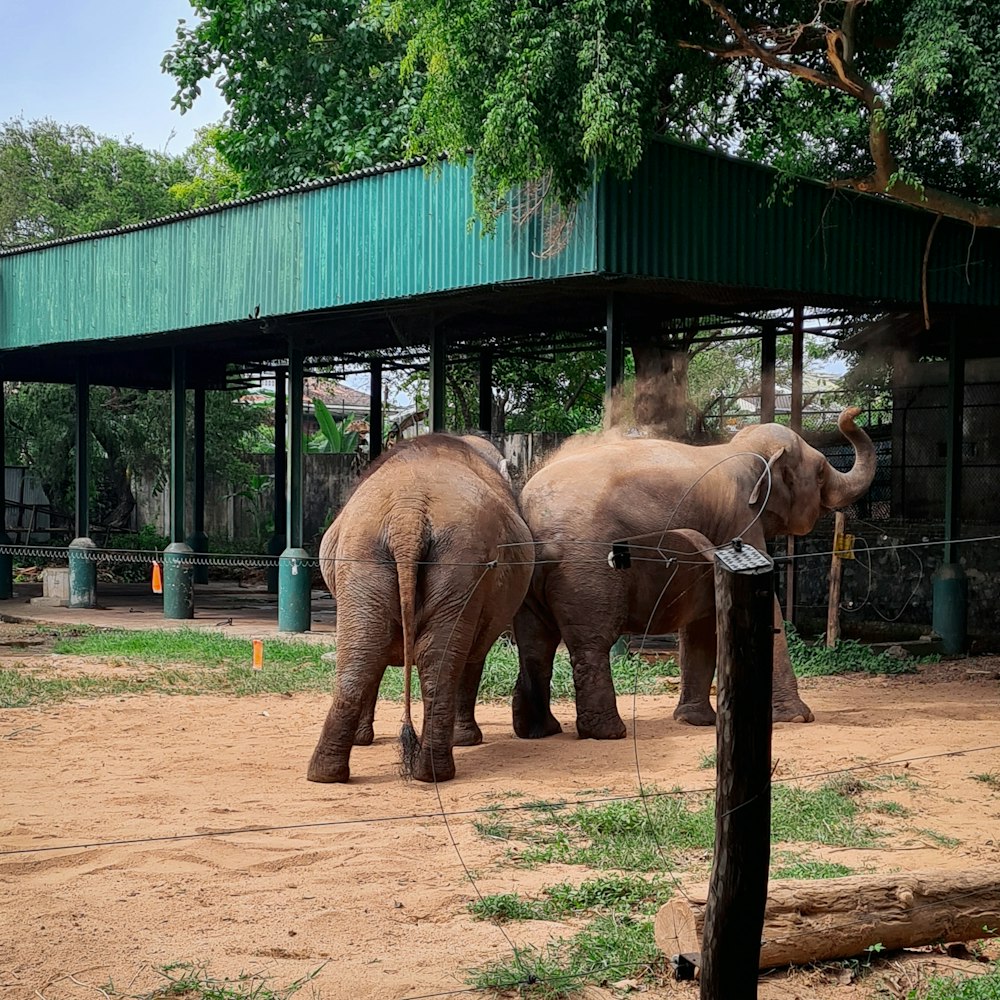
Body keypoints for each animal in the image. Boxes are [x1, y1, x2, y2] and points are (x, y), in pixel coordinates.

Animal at [308, 434, 536, 784]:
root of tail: (408, 512)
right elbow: (475, 653)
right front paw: (468, 741)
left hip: (376, 556)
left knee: (367, 651)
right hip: (448, 557)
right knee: (429, 655)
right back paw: (433, 769)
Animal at [512, 402, 872, 740]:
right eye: (821, 472)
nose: (853, 411)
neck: (740, 448)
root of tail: (535, 521)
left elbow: (703, 622)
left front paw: (693, 721)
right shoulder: (738, 522)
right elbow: (761, 598)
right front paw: (797, 717)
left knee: (535, 644)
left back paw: (540, 730)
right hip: (588, 567)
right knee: (591, 642)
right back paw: (607, 733)